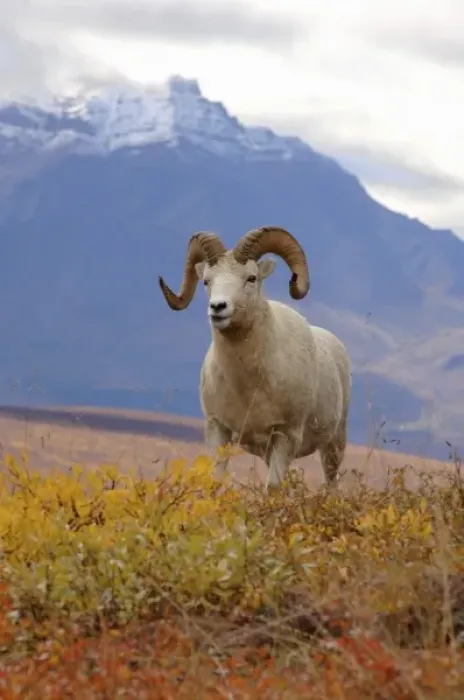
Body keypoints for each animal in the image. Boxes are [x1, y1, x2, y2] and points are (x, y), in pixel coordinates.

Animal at [159, 226, 352, 493]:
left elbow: (273, 488)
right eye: (207, 281)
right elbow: (215, 481)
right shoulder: (219, 429)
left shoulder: (285, 435)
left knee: (331, 483)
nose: (217, 307)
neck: (249, 386)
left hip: (333, 445)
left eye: (250, 278)